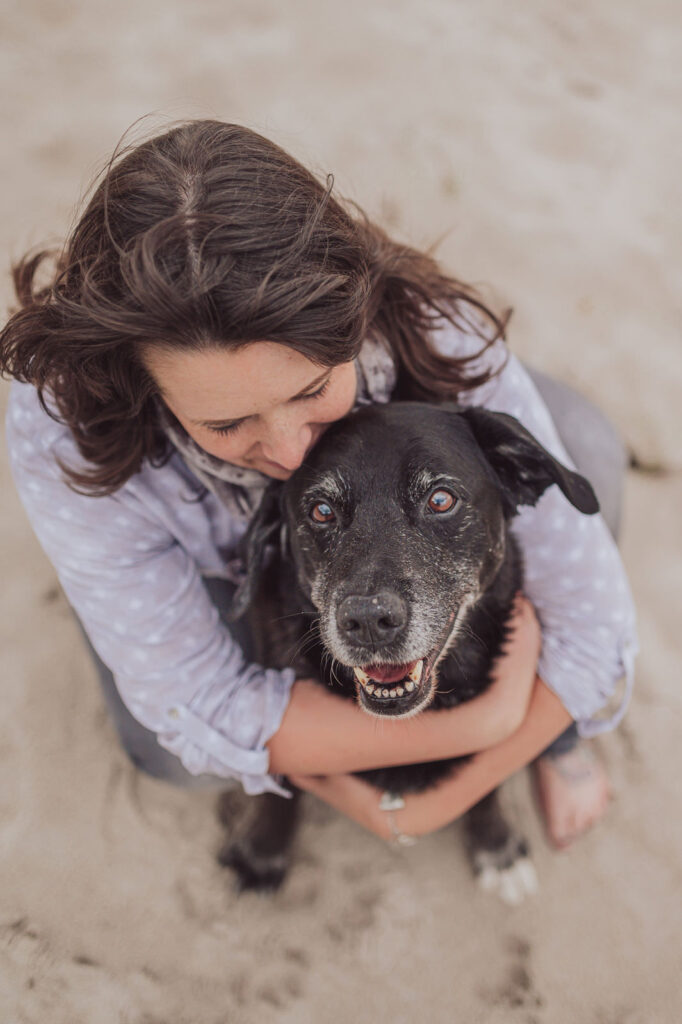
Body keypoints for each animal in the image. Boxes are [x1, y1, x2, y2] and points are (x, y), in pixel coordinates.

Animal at [218, 403, 593, 901]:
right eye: (321, 510)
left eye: (440, 500)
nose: (367, 620)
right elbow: (273, 780)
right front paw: (262, 853)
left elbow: (487, 780)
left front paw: (496, 847)